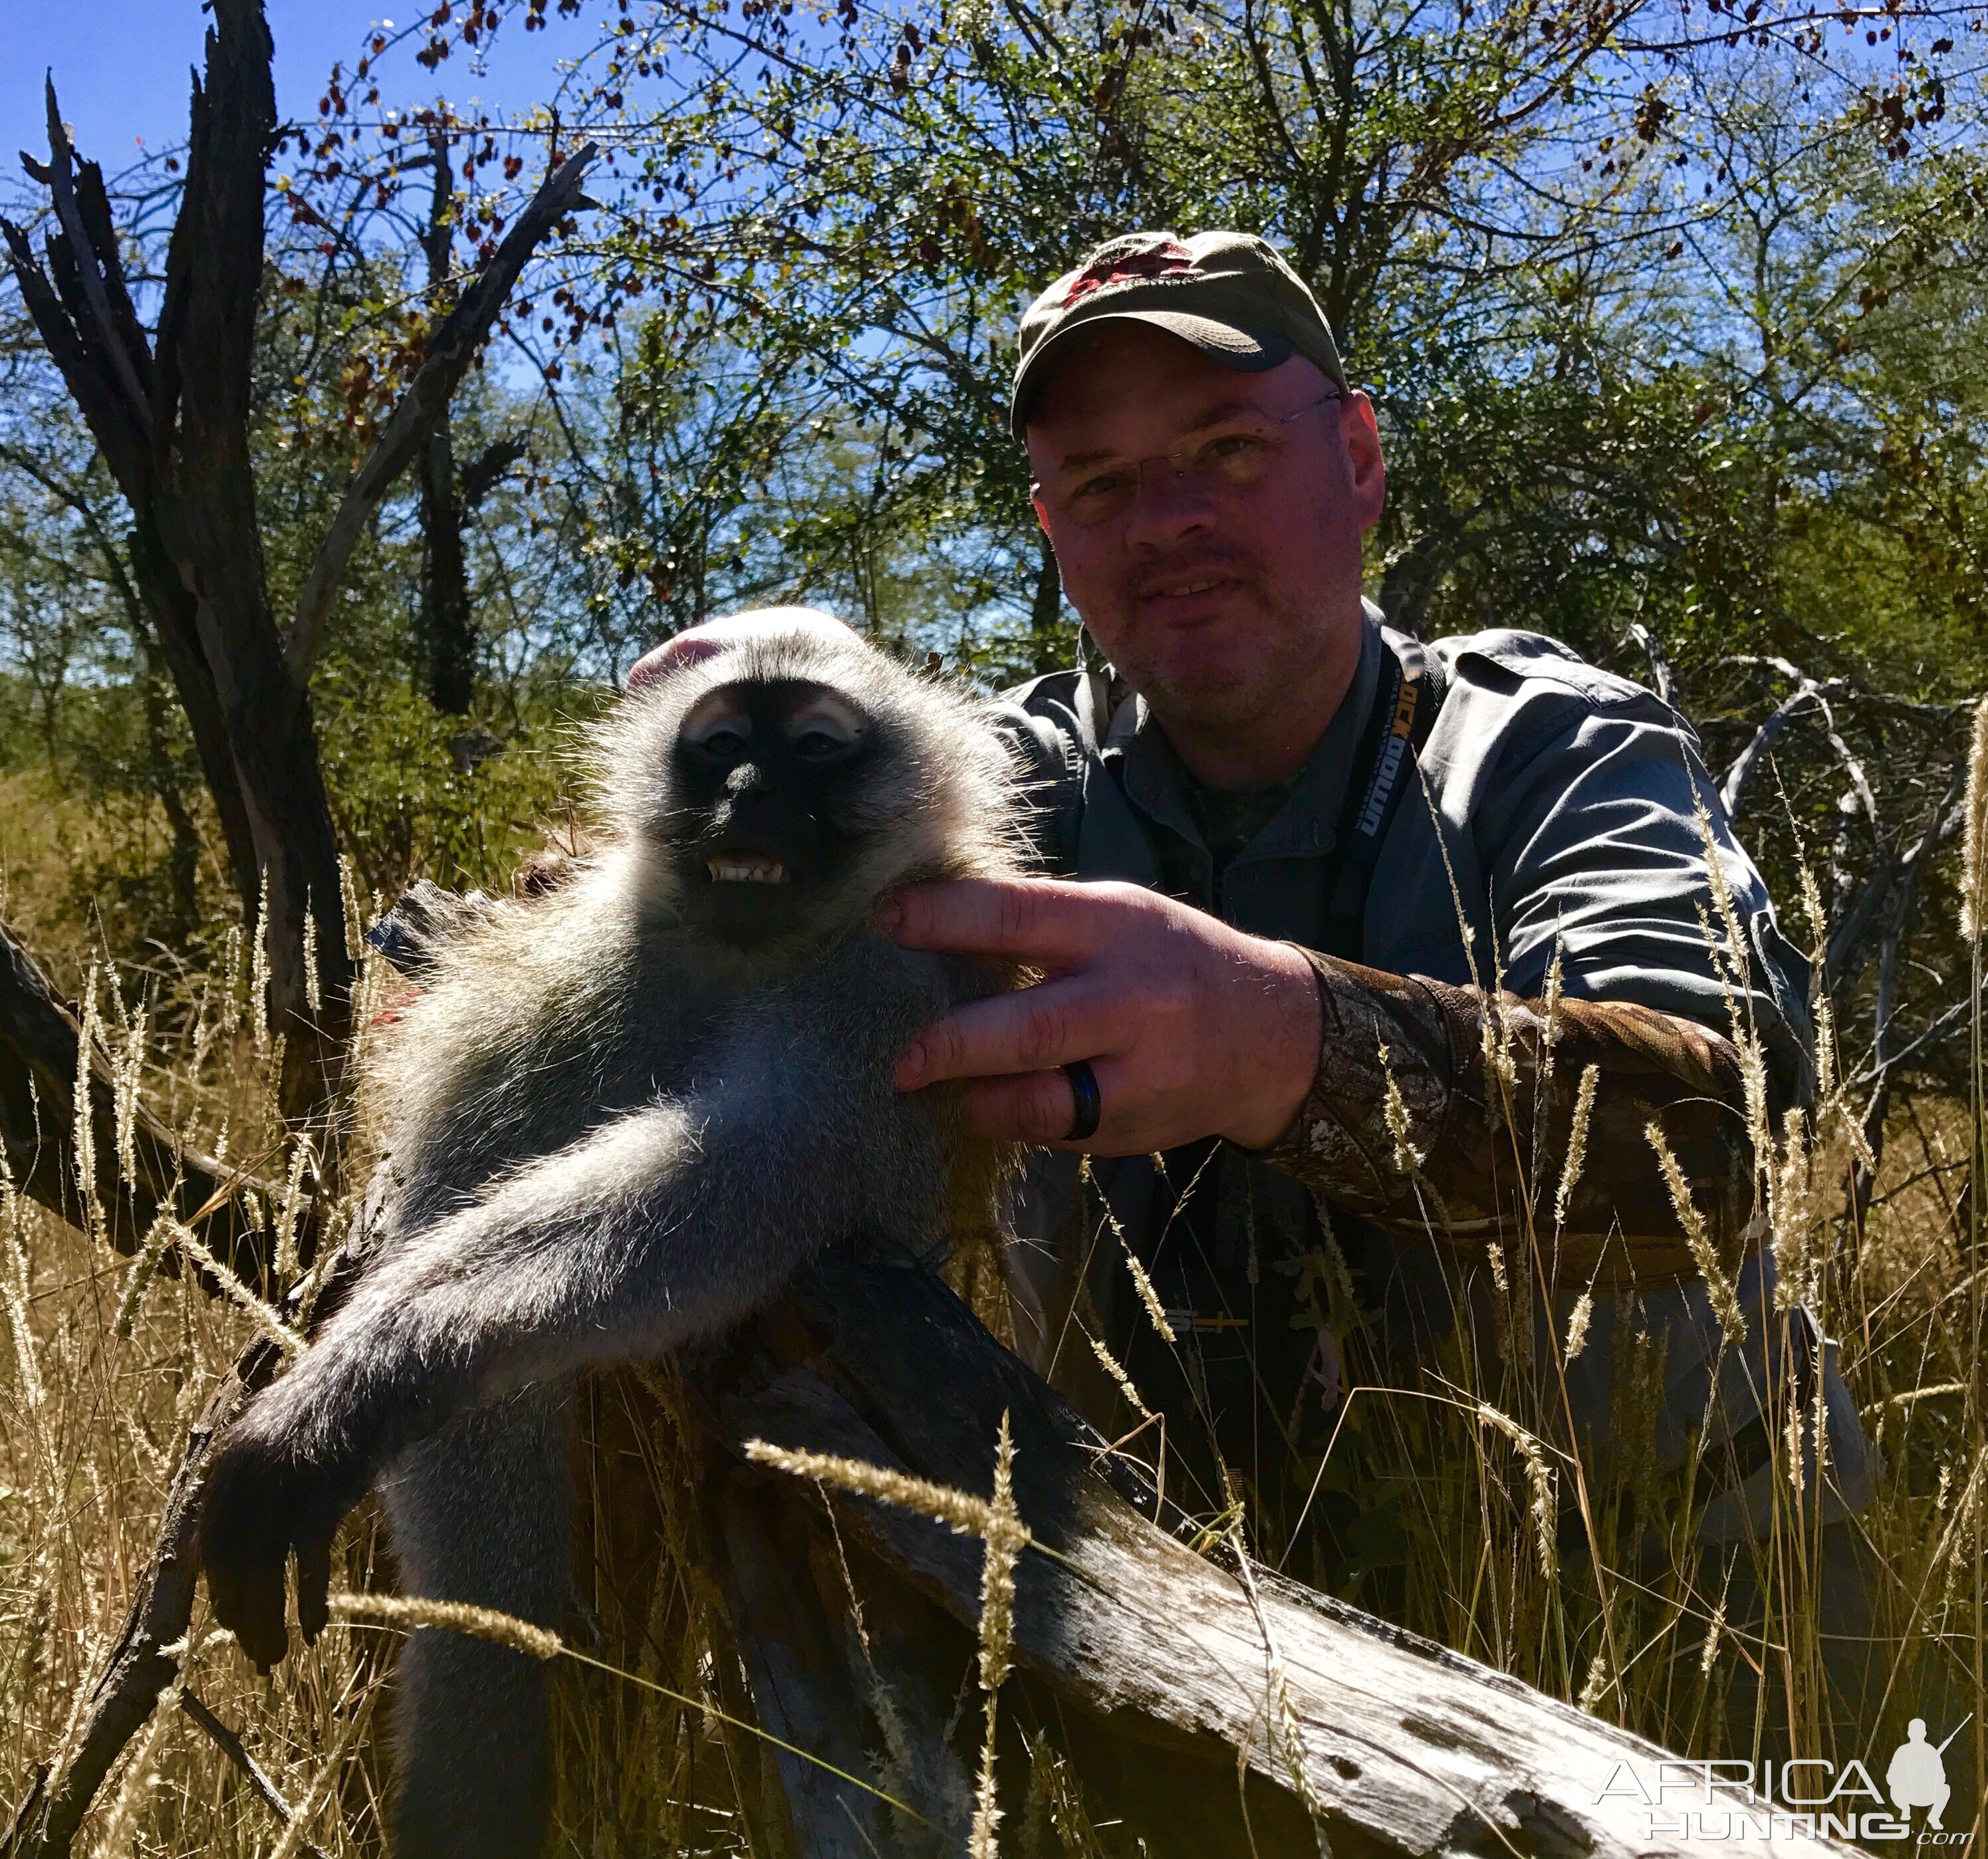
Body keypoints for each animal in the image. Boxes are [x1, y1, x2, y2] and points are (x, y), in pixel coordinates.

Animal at [197, 612, 1025, 1859]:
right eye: (723, 744)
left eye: (814, 748)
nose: (746, 793)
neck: (744, 954)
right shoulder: (560, 995)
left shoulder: (894, 979)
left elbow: (750, 1176)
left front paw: (368, 1372)